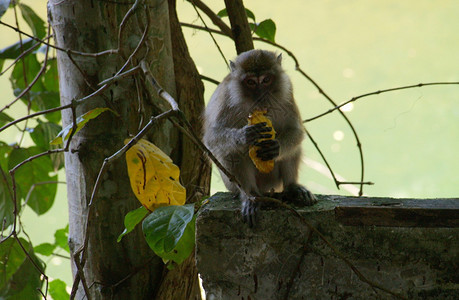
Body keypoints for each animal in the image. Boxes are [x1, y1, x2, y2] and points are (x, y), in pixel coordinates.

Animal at [204, 49, 316, 226]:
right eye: (250, 82)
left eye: (266, 80)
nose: (260, 95)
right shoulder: (227, 98)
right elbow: (212, 138)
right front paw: (244, 135)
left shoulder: (287, 91)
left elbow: (295, 130)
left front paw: (275, 147)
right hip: (233, 185)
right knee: (232, 152)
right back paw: (251, 196)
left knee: (293, 147)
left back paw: (292, 187)